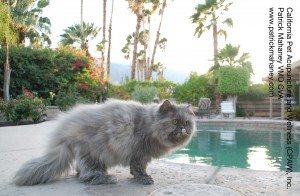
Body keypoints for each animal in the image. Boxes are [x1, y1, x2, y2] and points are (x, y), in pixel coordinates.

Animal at [13, 99, 197, 185]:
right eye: (175, 121)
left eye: (186, 122)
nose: (182, 128)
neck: (149, 124)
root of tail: (65, 128)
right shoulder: (140, 153)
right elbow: (139, 168)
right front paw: (144, 179)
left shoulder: (139, 155)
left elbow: (135, 168)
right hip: (94, 154)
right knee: (86, 175)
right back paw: (108, 178)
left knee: (80, 172)